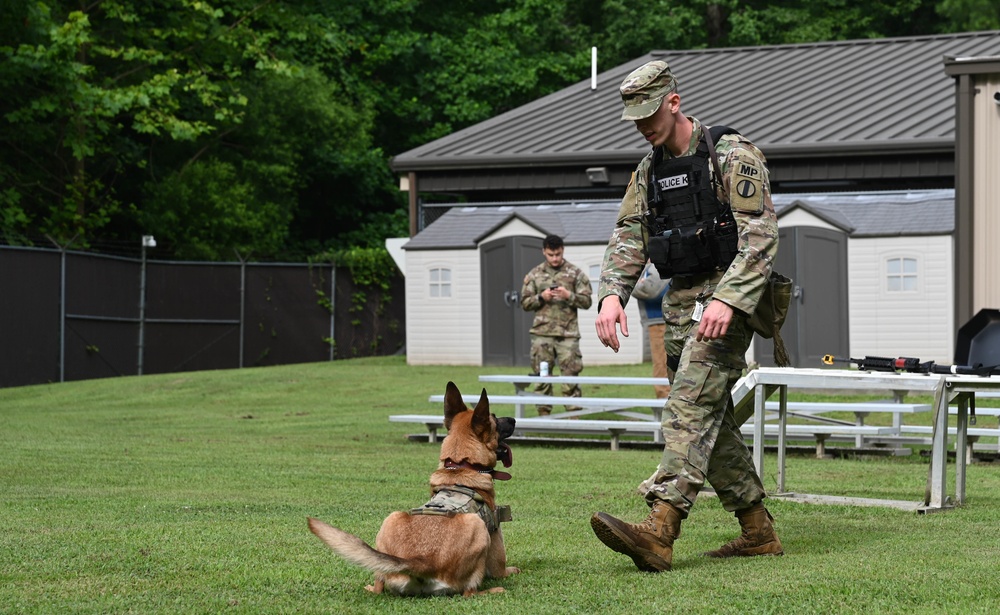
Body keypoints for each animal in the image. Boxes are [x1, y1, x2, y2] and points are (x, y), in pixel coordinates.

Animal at [308, 380, 520, 596]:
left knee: (378, 585)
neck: (461, 464)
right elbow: (500, 569)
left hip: (391, 517)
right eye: (494, 418)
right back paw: (493, 590)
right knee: (469, 592)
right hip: (477, 526)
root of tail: (420, 561)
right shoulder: (495, 533)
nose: (514, 419)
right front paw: (512, 570)